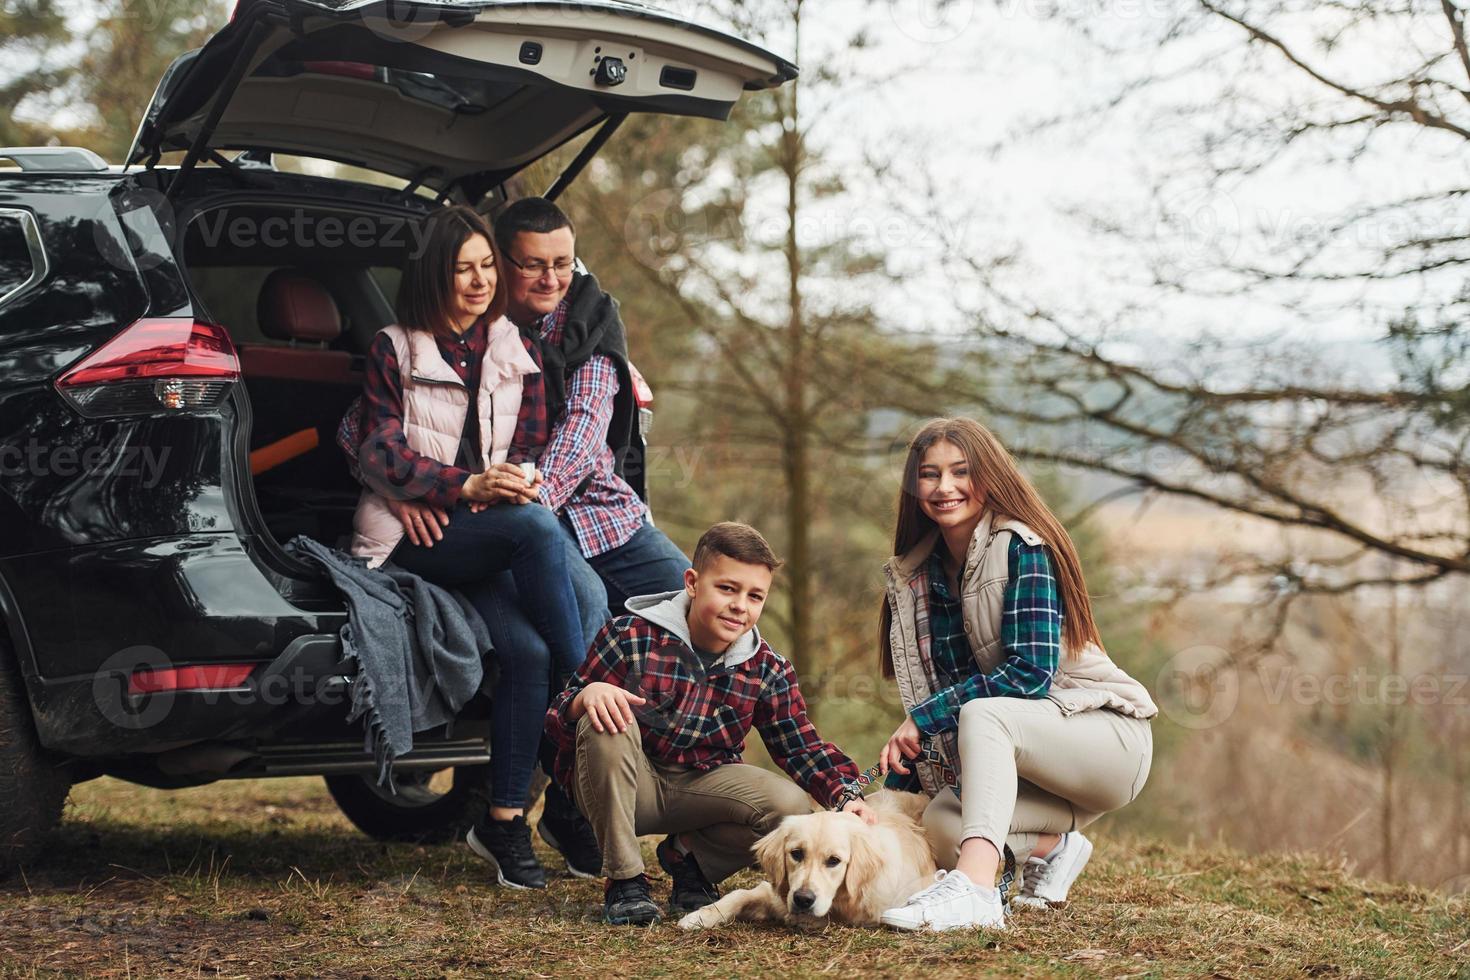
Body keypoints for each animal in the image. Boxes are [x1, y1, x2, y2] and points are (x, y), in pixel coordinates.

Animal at [673, 787, 934, 928]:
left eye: (834, 861)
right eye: (796, 854)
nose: (803, 899)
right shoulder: (779, 891)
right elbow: (738, 894)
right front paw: (699, 916)